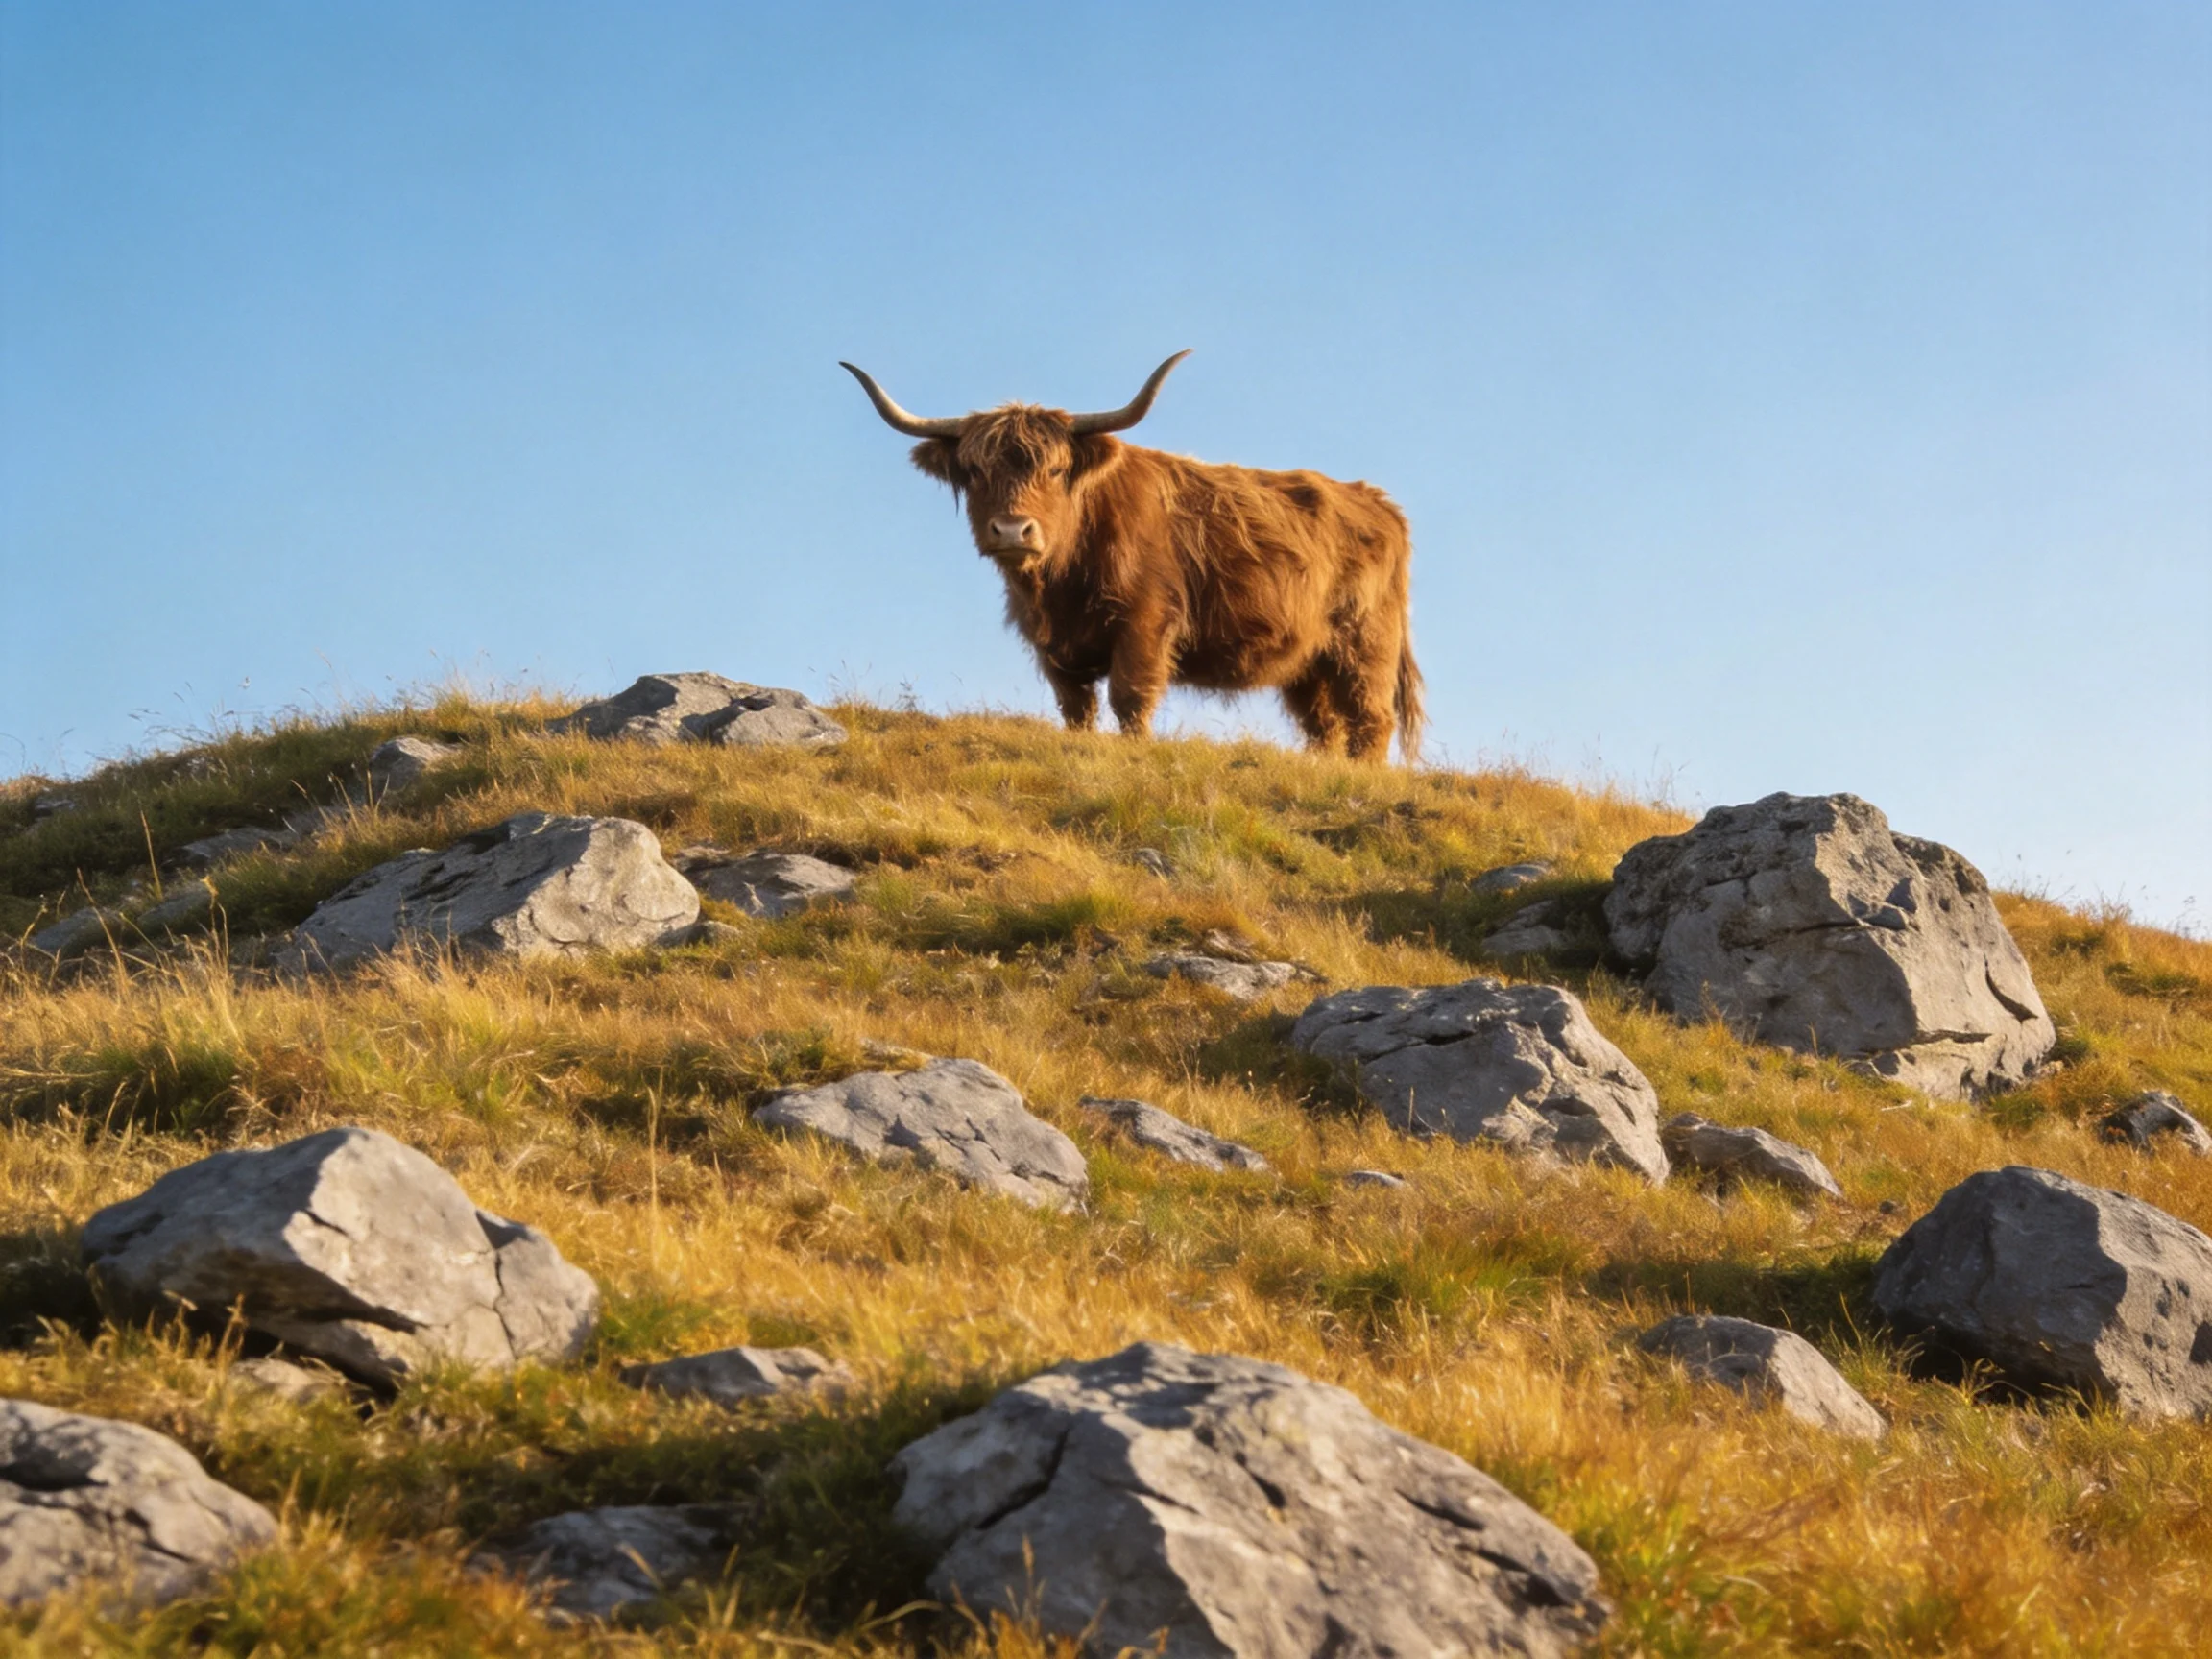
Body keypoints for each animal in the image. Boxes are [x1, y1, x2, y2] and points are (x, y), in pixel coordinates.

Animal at [841, 352, 1423, 763]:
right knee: (1324, 725)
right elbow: (1076, 708)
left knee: (1370, 718)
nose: (1012, 529)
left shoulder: (1145, 623)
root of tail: (1377, 502)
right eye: (976, 470)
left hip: (1364, 643)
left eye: (1056, 470)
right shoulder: (1053, 645)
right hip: (1308, 663)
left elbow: (1129, 697)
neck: (1060, 583)